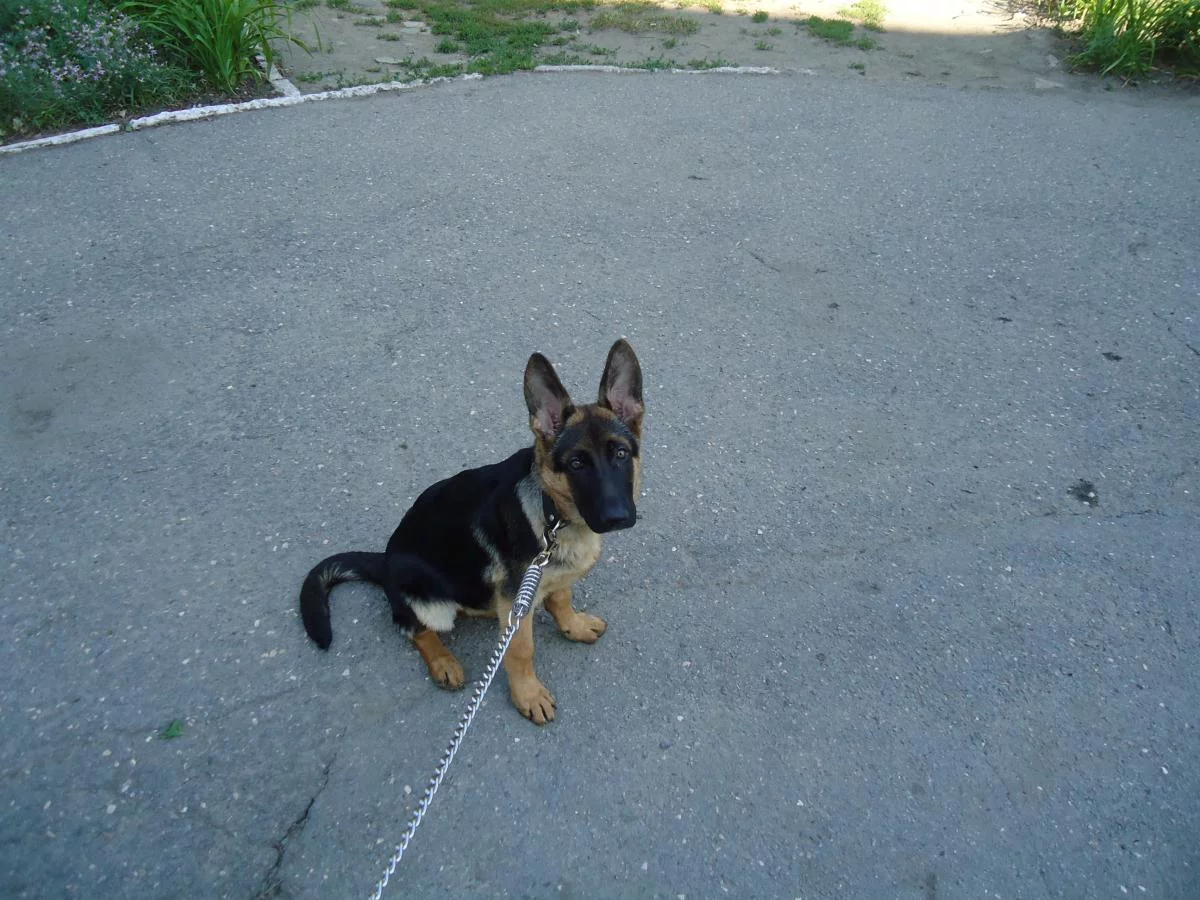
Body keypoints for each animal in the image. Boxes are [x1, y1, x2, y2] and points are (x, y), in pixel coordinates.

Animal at [299, 339, 644, 724]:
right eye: (576, 464)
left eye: (621, 454)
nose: (617, 518)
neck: (552, 511)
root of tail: (385, 559)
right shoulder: (516, 597)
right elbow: (520, 649)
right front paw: (527, 694)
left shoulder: (547, 578)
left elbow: (560, 598)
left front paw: (573, 624)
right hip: (427, 599)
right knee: (412, 627)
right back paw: (443, 661)